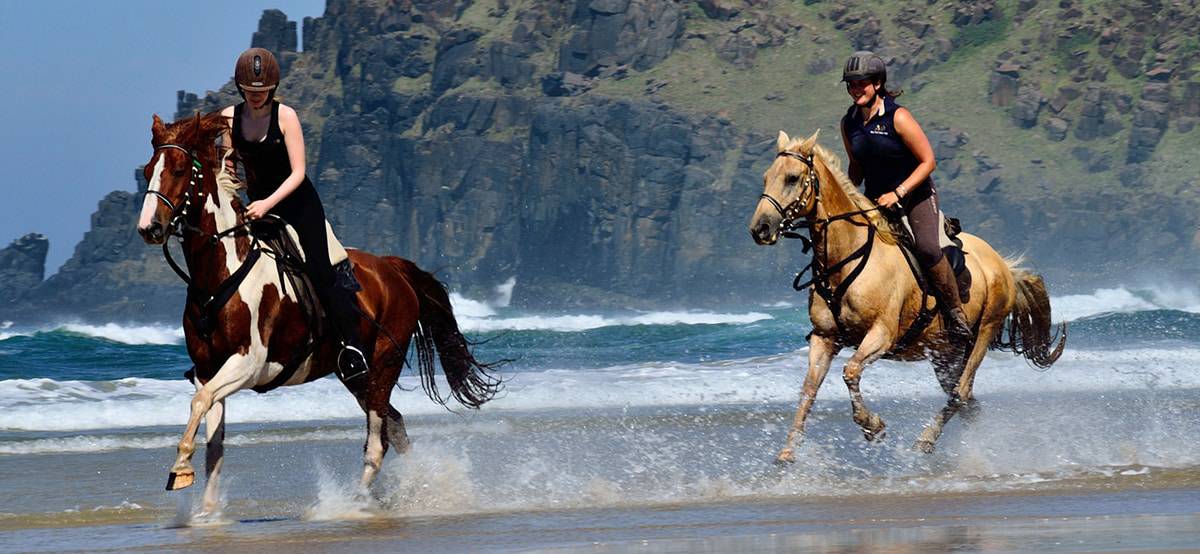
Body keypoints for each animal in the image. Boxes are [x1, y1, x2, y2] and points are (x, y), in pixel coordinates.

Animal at [136, 111, 500, 514]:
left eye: (180, 169)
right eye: (148, 170)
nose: (149, 228)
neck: (220, 275)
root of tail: (392, 268)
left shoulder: (250, 364)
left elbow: (199, 404)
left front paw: (179, 468)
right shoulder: (206, 370)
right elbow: (213, 441)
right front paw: (207, 512)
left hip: (383, 365)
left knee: (378, 442)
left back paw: (356, 504)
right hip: (356, 376)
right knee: (396, 427)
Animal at [749, 130, 1065, 461]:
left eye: (792, 178)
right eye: (766, 177)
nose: (760, 228)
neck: (846, 256)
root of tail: (1002, 263)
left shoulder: (881, 335)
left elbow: (850, 372)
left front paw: (872, 426)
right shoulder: (825, 337)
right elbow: (809, 389)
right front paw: (787, 453)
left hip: (983, 331)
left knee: (961, 392)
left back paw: (926, 439)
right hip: (945, 353)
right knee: (965, 400)